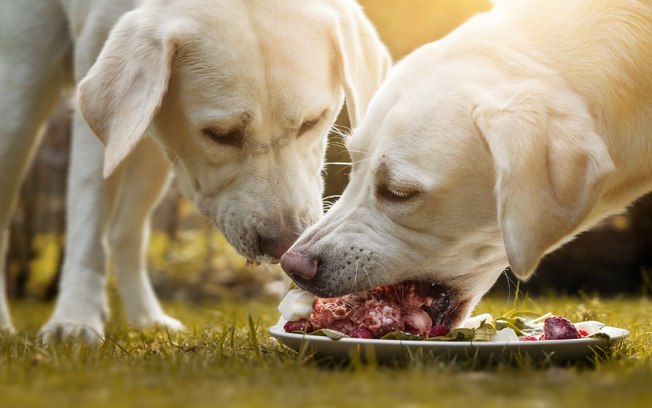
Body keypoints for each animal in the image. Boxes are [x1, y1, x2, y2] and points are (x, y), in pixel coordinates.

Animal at [0, 0, 388, 342]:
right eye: (221, 135)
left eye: (312, 122)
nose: (284, 245)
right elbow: (88, 216)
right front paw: (75, 318)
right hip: (21, 100)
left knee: (126, 231)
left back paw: (147, 317)